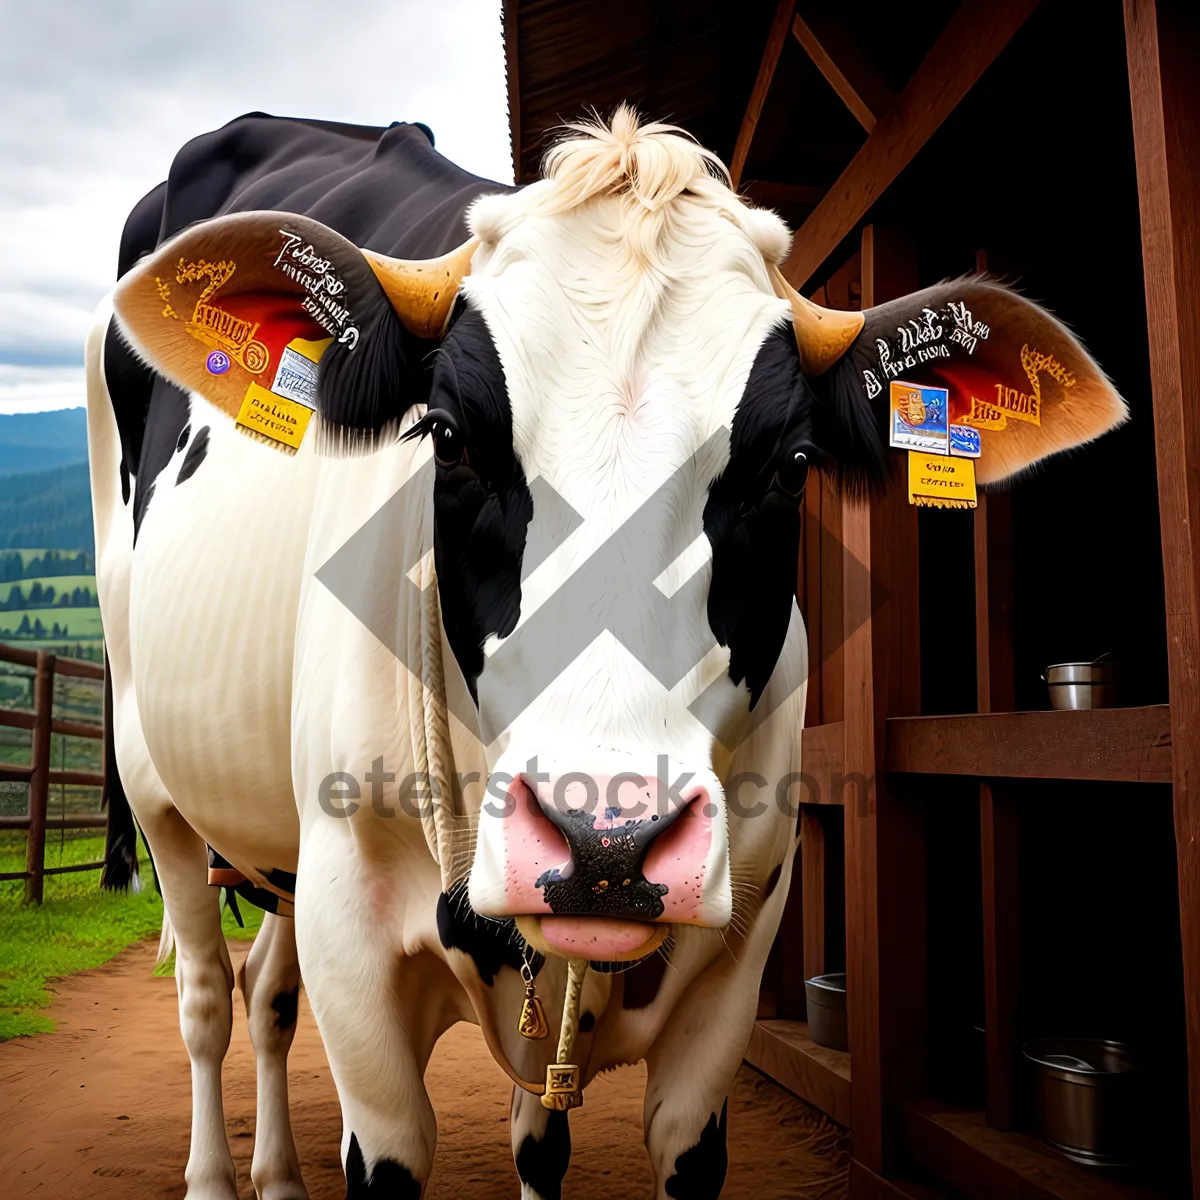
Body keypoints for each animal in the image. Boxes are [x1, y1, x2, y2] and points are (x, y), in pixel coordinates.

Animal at [91, 108, 1123, 1195]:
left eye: (791, 465)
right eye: (447, 437)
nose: (606, 842)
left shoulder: (736, 962)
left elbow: (572, 1142)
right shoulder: (354, 943)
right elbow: (383, 1136)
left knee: (267, 991)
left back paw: (281, 1173)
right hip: (155, 783)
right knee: (209, 994)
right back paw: (216, 1173)